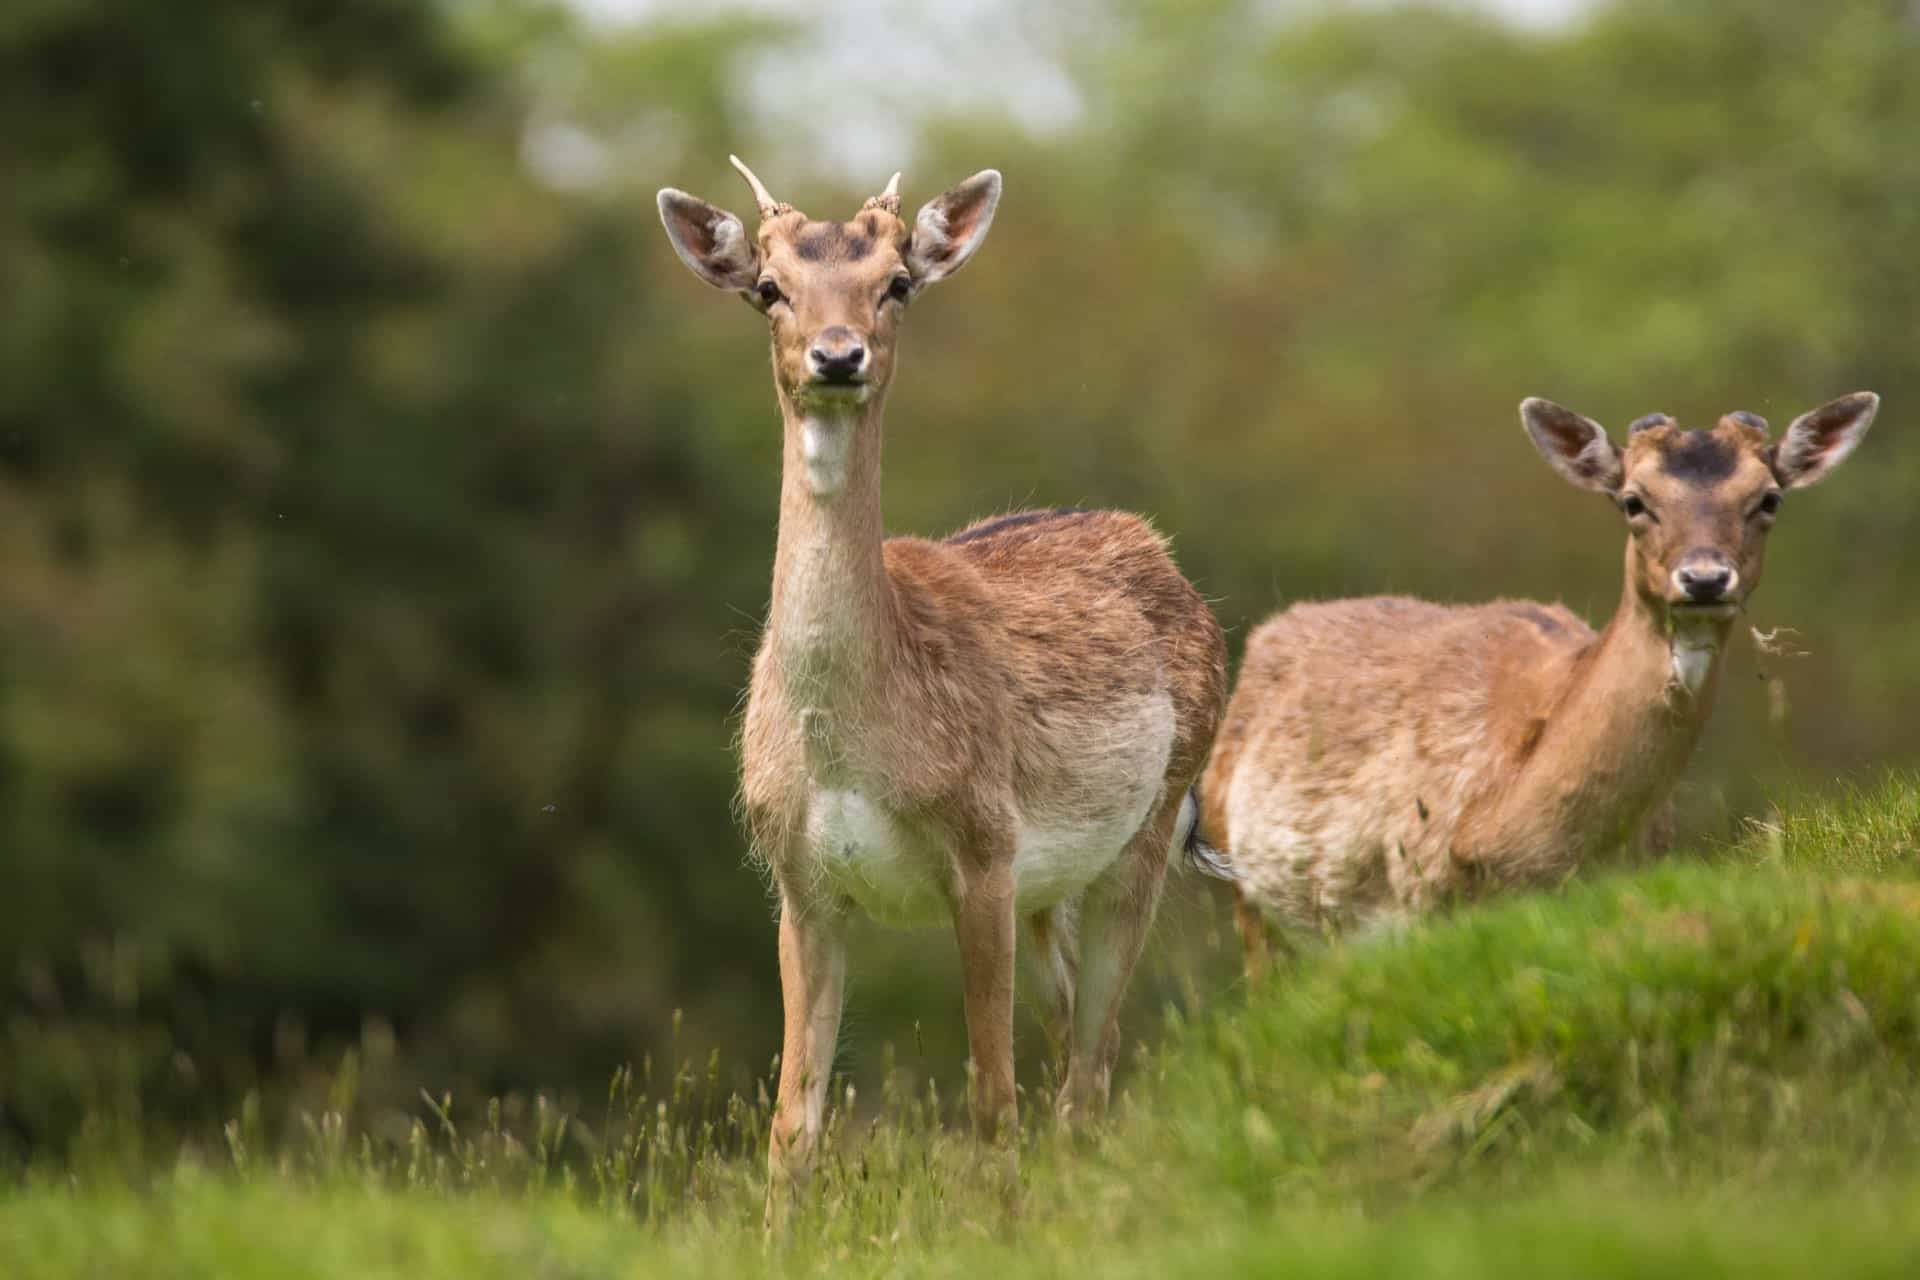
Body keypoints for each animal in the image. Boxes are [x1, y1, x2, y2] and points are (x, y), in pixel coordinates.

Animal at [655, 158, 1228, 1211]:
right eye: (769, 289)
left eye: (897, 283)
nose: (838, 355)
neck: (852, 748)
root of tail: (1165, 558)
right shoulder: (797, 877)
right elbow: (791, 1126)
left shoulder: (985, 847)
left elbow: (991, 1103)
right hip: (1054, 890)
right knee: (1077, 1056)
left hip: (1147, 830)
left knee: (1087, 1075)